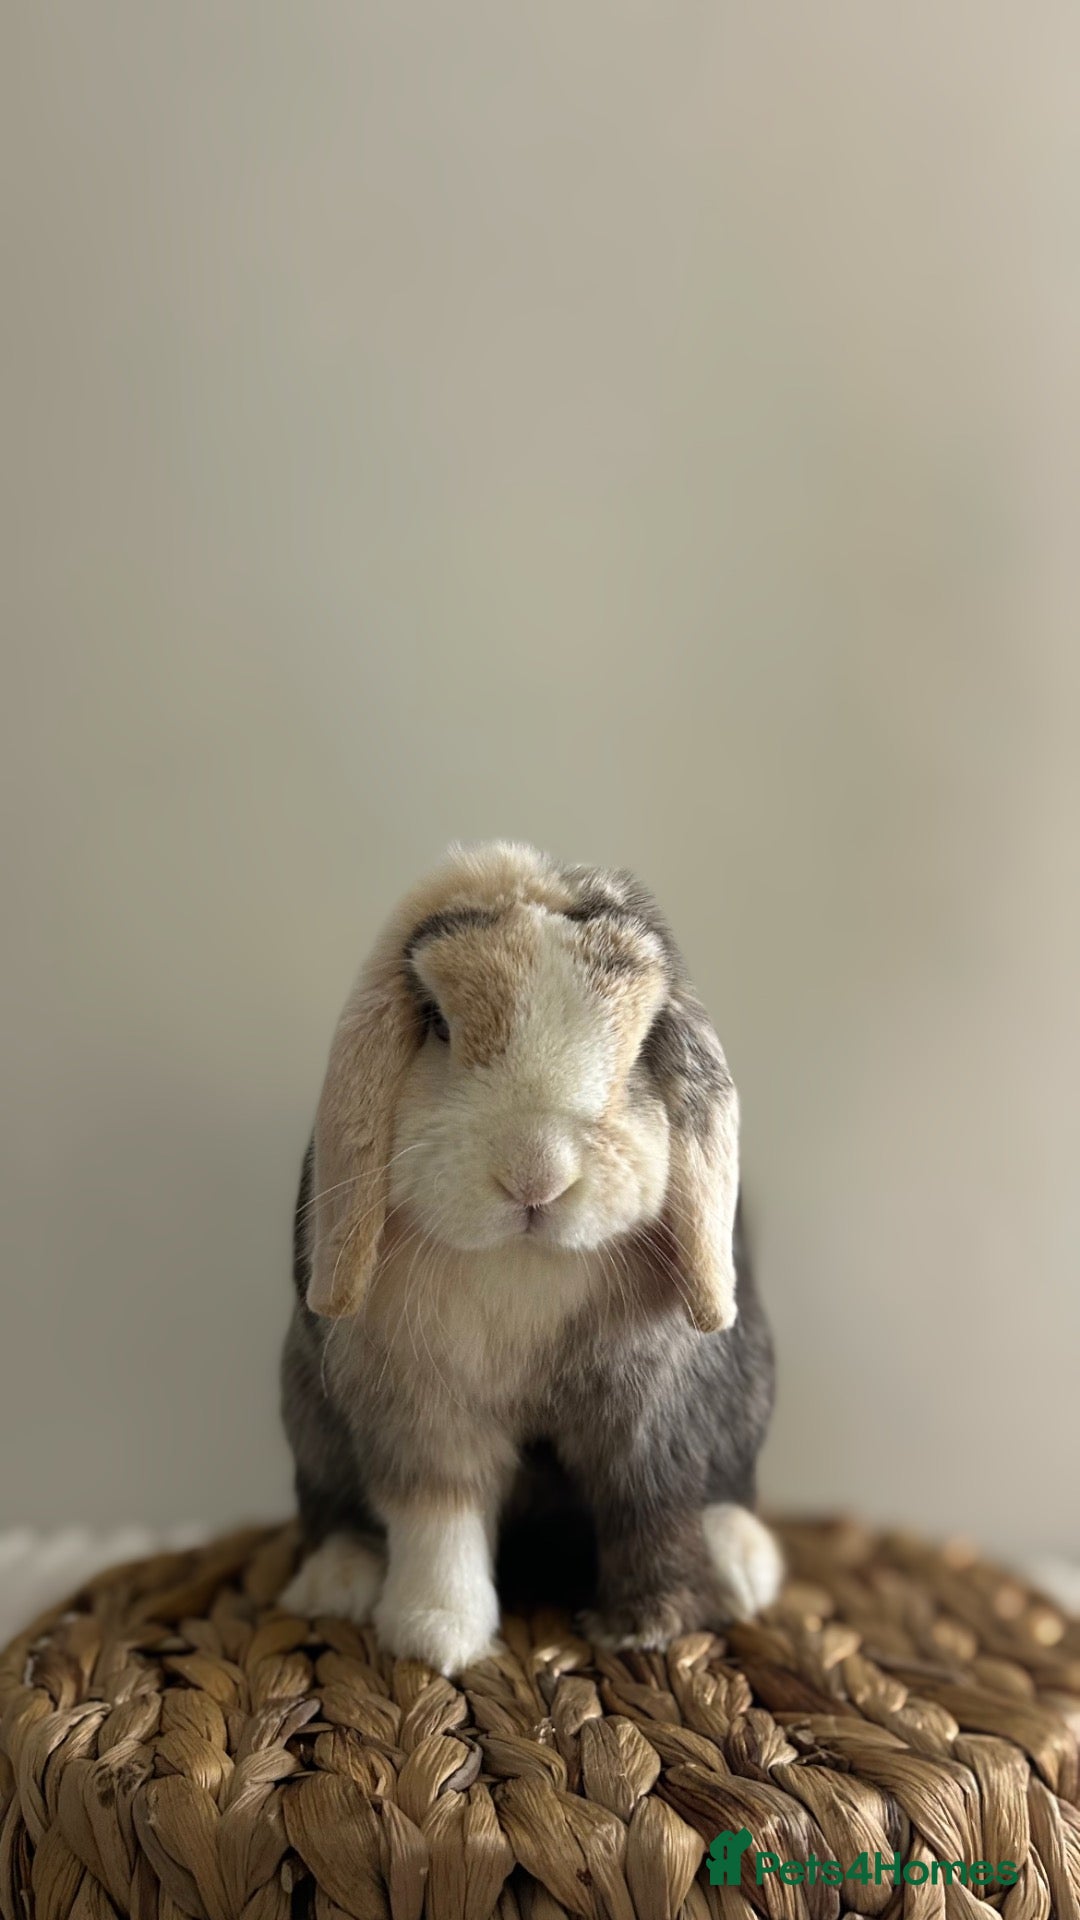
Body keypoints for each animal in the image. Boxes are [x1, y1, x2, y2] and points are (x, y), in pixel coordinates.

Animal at [280, 841, 780, 1674]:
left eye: (642, 1044)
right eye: (436, 1023)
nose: (536, 1174)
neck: (526, 1265)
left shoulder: (653, 1413)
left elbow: (651, 1505)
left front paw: (654, 1626)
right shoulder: (423, 1406)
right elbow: (438, 1517)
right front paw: (437, 1636)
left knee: (726, 1488)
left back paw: (745, 1566)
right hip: (307, 1412)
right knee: (333, 1503)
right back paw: (337, 1580)